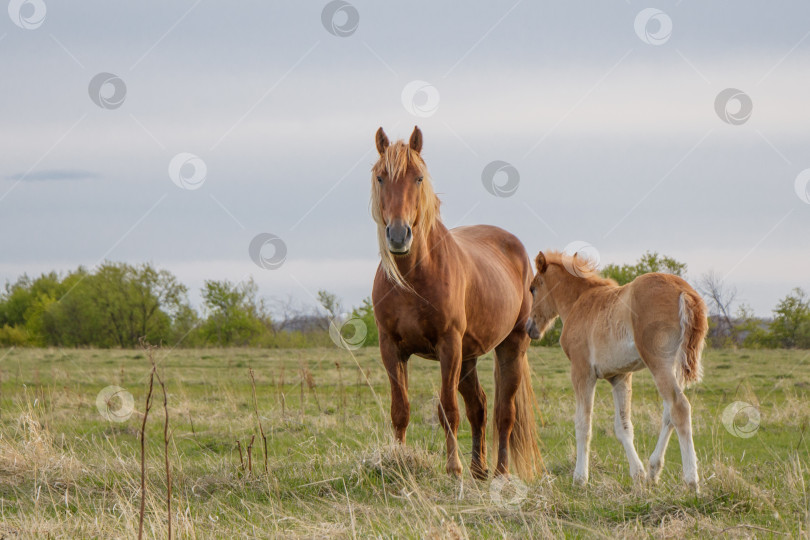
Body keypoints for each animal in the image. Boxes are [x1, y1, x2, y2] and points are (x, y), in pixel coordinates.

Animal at [370, 127, 540, 480]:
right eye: (380, 178)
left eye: (419, 178)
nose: (398, 235)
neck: (412, 278)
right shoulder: (390, 347)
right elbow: (400, 409)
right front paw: (399, 462)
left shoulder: (448, 346)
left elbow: (447, 409)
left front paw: (453, 468)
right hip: (469, 357)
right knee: (480, 407)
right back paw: (478, 469)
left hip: (511, 347)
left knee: (505, 412)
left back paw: (500, 472)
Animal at [524, 252, 708, 490]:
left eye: (532, 288)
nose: (530, 328)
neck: (579, 302)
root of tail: (684, 291)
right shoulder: (620, 376)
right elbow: (623, 427)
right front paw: (638, 474)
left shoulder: (582, 372)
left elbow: (583, 424)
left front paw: (580, 478)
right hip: (676, 366)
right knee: (669, 413)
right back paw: (653, 470)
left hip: (659, 363)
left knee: (679, 408)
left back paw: (691, 481)